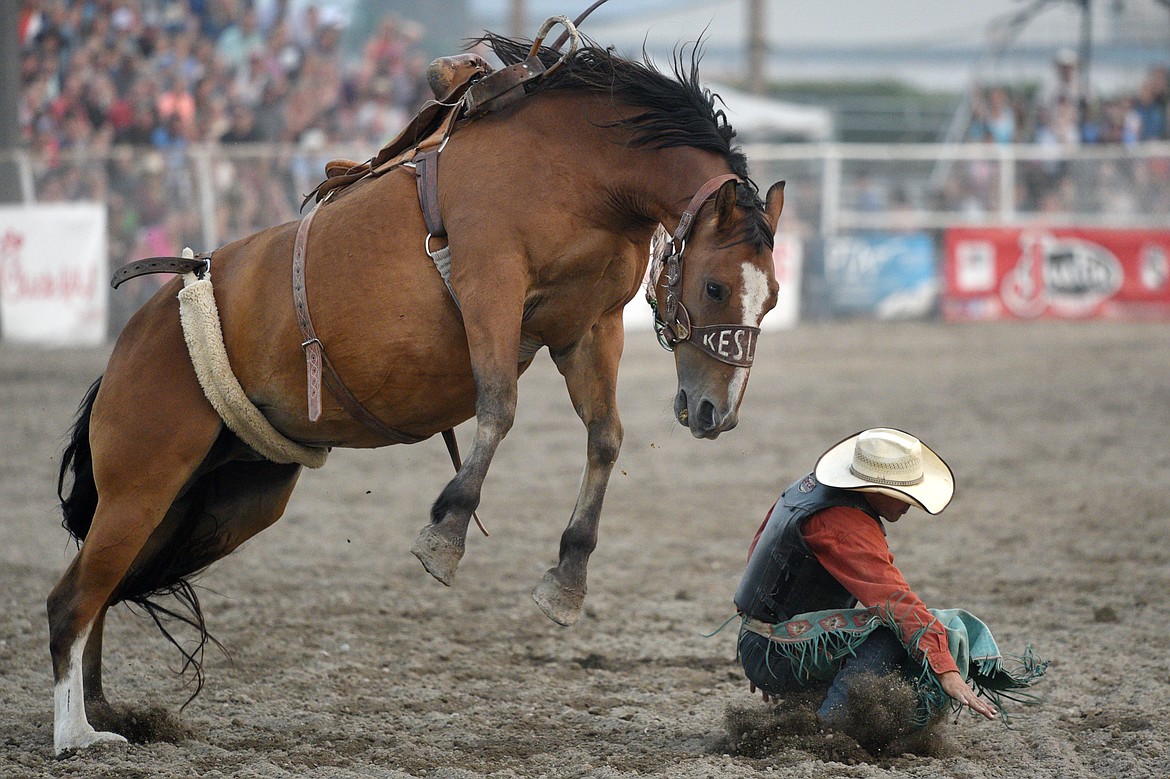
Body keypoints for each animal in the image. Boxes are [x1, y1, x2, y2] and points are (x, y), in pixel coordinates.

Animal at [45, 30, 781, 753]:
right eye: (715, 286)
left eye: (771, 297)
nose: (717, 412)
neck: (580, 166)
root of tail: (137, 332)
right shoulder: (491, 283)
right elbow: (499, 407)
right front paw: (445, 534)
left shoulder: (589, 326)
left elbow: (605, 438)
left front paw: (567, 579)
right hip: (143, 480)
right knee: (72, 599)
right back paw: (78, 733)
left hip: (223, 499)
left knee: (101, 587)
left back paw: (109, 712)